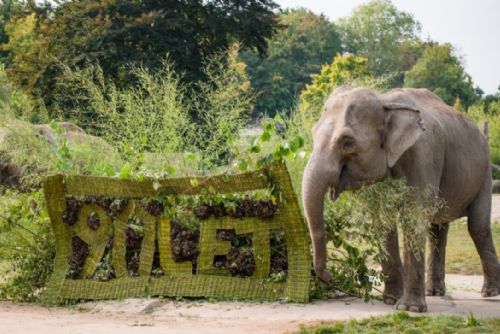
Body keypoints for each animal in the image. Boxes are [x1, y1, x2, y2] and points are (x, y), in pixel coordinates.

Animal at [300, 87, 500, 314]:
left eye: (347, 142)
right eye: (313, 134)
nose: (327, 276)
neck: (385, 101)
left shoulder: (423, 155)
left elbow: (413, 219)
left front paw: (409, 308)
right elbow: (382, 223)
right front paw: (389, 300)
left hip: (484, 172)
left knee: (477, 227)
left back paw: (490, 293)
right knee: (437, 229)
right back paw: (434, 292)